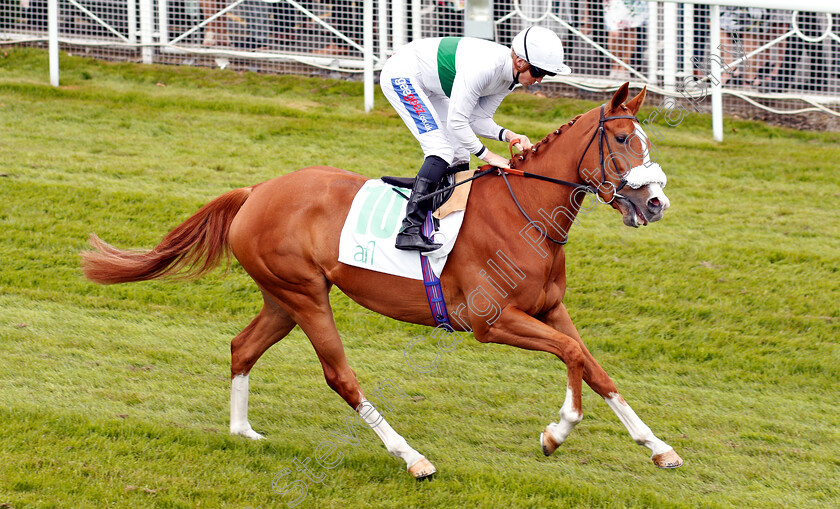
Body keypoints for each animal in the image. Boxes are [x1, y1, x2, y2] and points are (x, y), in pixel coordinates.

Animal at [80, 84, 684, 480]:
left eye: (645, 141)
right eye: (623, 139)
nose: (656, 203)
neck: (526, 214)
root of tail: (256, 191)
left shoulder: (549, 310)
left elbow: (593, 365)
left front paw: (656, 446)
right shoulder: (491, 321)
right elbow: (572, 356)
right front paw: (557, 431)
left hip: (283, 298)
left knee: (241, 347)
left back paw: (242, 431)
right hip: (305, 295)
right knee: (340, 377)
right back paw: (412, 457)